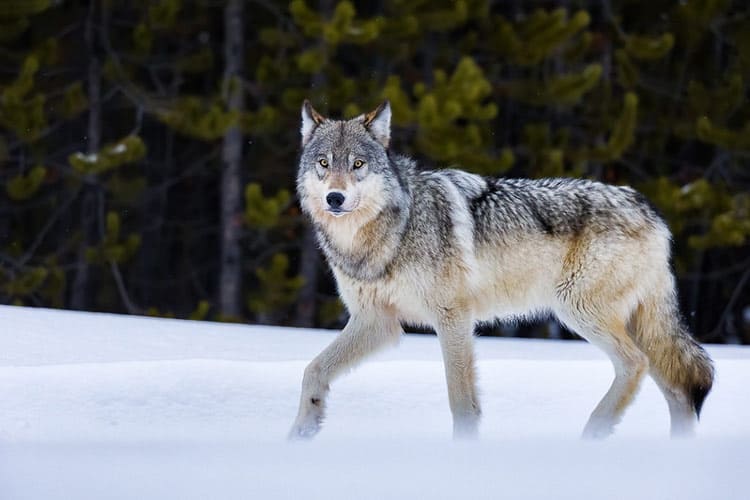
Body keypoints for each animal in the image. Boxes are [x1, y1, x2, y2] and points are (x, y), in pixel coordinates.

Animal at [290, 99, 716, 440]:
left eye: (358, 164)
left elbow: (461, 400)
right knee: (678, 388)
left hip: (578, 310)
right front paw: (300, 434)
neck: (390, 232)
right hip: (635, 324)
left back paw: (593, 433)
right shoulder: (376, 322)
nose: (335, 197)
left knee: (636, 365)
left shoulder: (452, 317)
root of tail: (649, 210)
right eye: (324, 163)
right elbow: (313, 370)